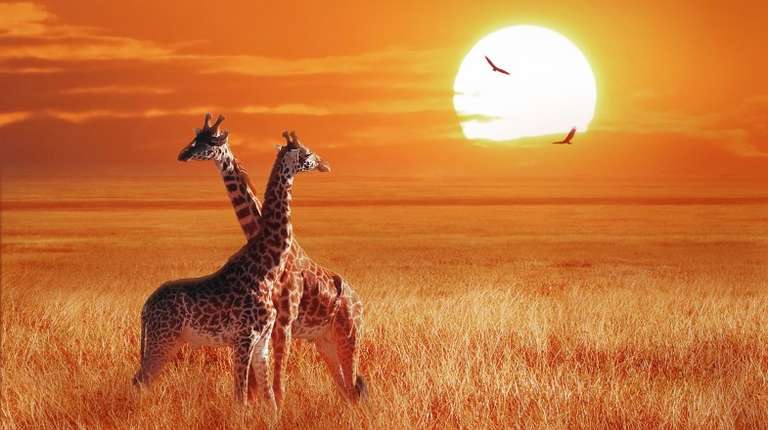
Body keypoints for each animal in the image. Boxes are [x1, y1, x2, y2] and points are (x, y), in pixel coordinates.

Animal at [133, 129, 330, 410]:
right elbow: (241, 397)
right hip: (164, 340)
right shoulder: (244, 338)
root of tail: (145, 308)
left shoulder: (261, 342)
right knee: (141, 380)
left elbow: (269, 398)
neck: (266, 269)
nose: (324, 164)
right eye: (308, 153)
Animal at [177, 114, 367, 406]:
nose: (183, 154)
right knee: (348, 387)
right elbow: (258, 385)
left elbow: (276, 385)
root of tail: (360, 303)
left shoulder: (283, 322)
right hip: (325, 341)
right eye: (196, 138)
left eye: (211, 141)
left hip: (349, 337)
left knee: (354, 386)